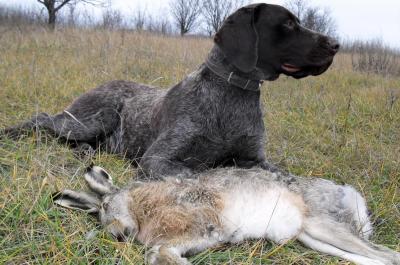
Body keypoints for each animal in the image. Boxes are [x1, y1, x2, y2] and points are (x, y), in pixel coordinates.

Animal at [0, 3, 338, 177]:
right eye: (289, 24)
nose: (336, 44)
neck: (232, 94)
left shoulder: (256, 159)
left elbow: (285, 176)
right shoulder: (158, 158)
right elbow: (194, 173)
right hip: (94, 117)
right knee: (43, 120)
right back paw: (13, 132)